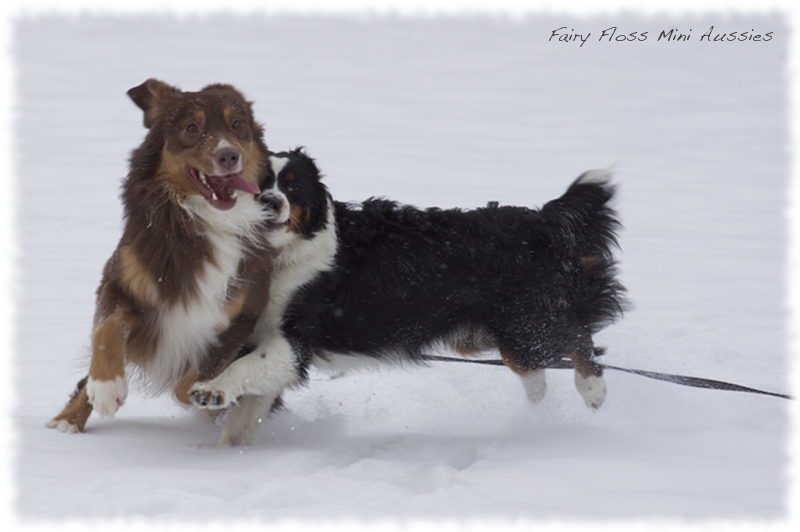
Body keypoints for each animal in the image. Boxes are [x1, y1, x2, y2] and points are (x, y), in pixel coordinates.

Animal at [47, 80, 274, 436]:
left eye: (237, 124)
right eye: (191, 128)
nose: (228, 155)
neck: (202, 222)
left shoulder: (243, 315)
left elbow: (192, 381)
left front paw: (210, 397)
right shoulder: (119, 280)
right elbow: (107, 330)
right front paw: (108, 389)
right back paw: (67, 421)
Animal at [191, 149, 628, 444]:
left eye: (293, 184)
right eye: (253, 181)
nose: (270, 201)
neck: (280, 255)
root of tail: (542, 221)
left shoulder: (294, 339)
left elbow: (244, 371)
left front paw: (211, 391)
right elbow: (250, 405)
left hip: (528, 324)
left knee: (579, 343)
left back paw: (594, 394)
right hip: (492, 335)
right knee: (535, 366)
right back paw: (539, 400)